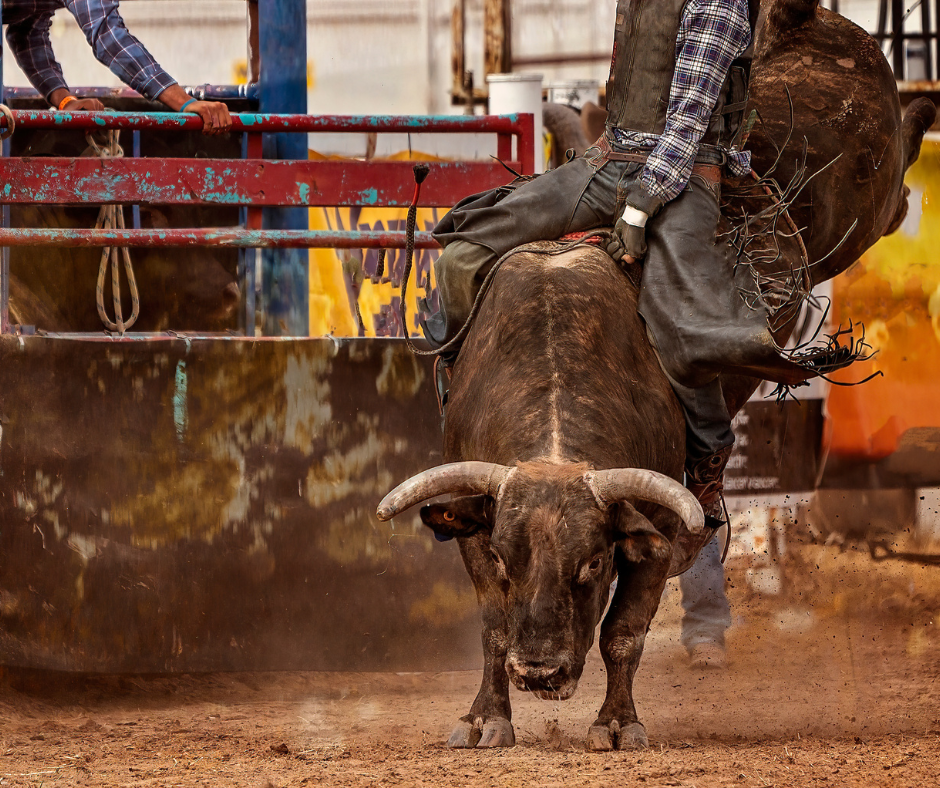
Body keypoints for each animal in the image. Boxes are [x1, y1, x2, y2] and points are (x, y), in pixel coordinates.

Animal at [376, 0, 934, 751]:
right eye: (509, 558)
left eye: (591, 563)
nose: (542, 673)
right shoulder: (472, 524)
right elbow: (493, 624)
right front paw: (486, 717)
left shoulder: (655, 532)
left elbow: (624, 632)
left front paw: (616, 723)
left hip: (854, 196)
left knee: (895, 179)